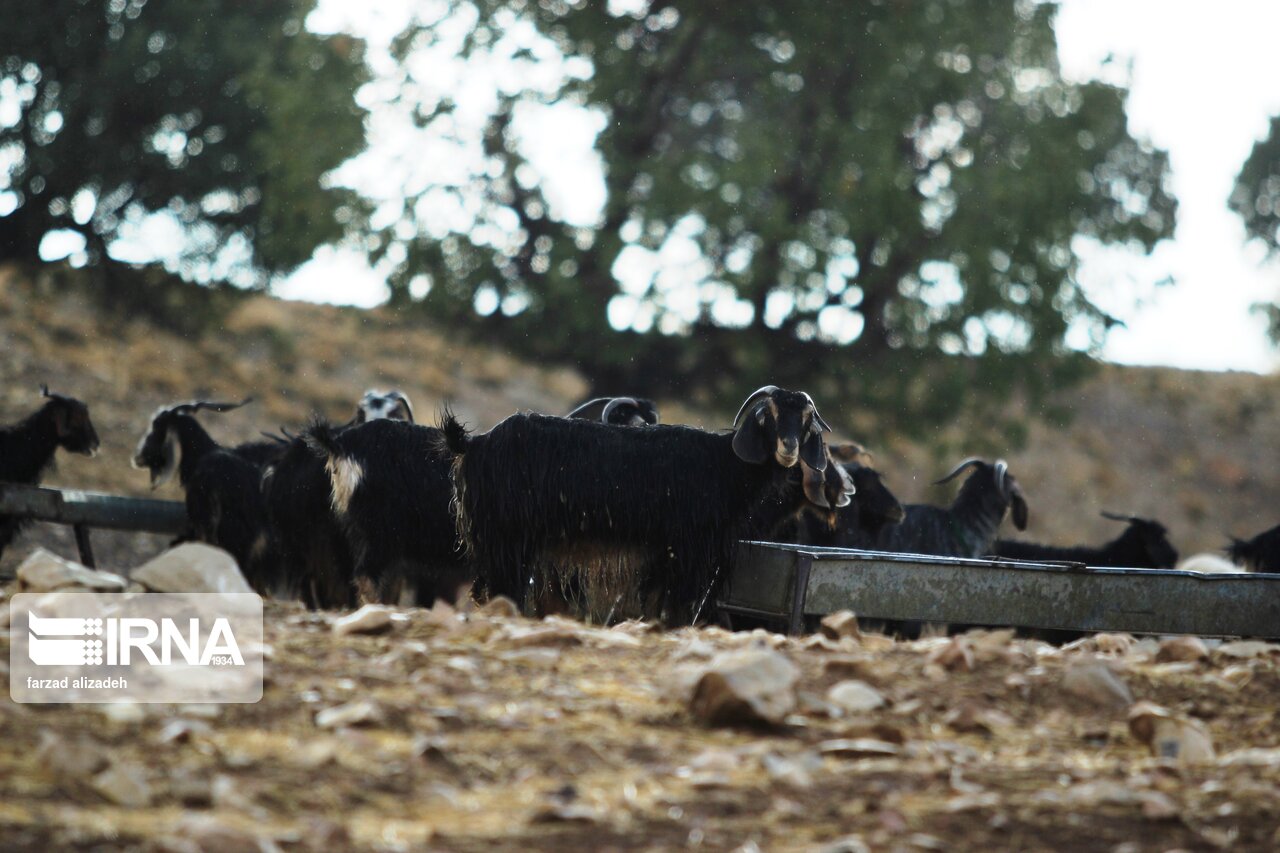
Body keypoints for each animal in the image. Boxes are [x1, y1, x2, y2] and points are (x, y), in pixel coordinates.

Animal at [440, 384, 839, 617]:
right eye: (768, 416)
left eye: (806, 420)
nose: (788, 449)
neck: (722, 464)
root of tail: (472, 443)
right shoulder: (688, 553)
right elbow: (678, 609)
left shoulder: (664, 556)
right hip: (506, 538)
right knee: (502, 592)